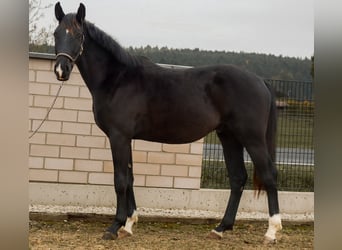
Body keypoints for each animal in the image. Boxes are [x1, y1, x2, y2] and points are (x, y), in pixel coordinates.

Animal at [54, 2, 284, 243]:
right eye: (56, 34)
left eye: (78, 35)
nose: (61, 70)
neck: (117, 79)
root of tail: (260, 80)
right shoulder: (127, 138)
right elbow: (130, 178)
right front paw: (129, 224)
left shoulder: (118, 137)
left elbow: (120, 181)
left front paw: (114, 227)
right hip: (229, 137)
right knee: (238, 178)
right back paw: (221, 228)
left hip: (252, 138)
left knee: (269, 175)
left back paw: (271, 231)